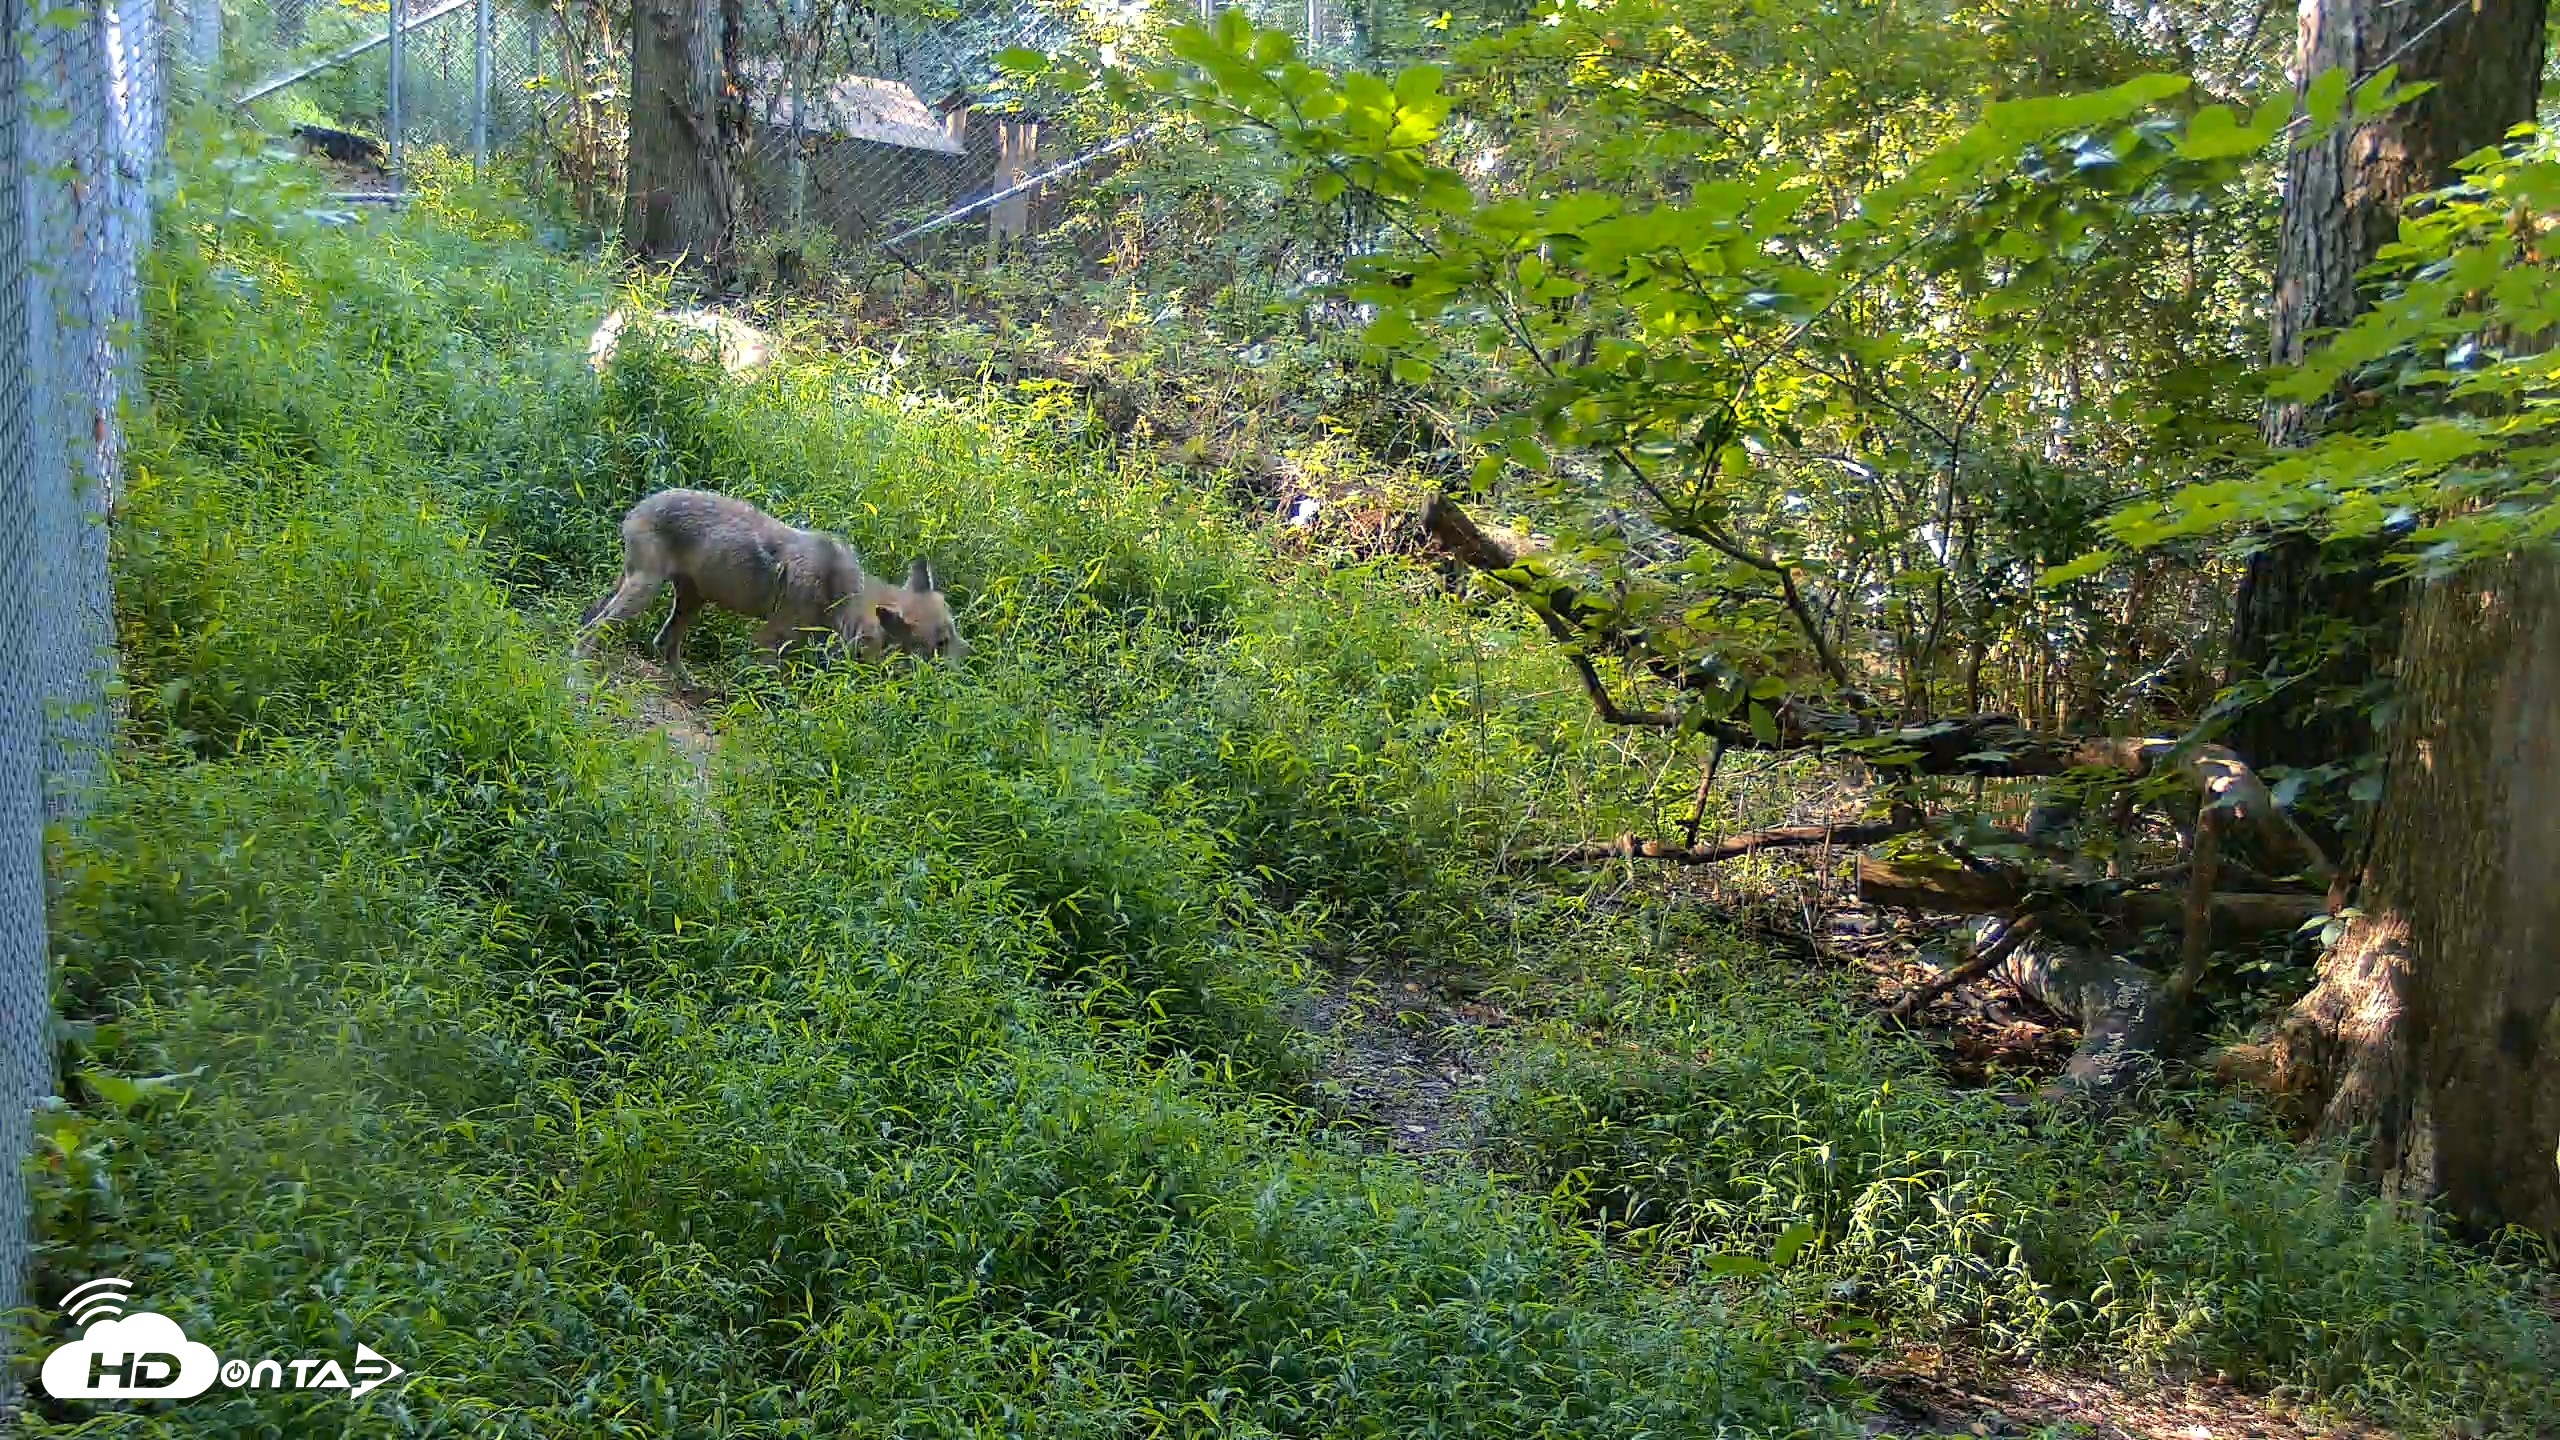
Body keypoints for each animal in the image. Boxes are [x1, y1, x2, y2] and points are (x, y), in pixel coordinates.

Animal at [574, 488, 965, 684]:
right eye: (941, 644)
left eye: (954, 631)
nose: (972, 657)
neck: (841, 592)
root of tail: (636, 508)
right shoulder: (768, 640)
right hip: (644, 593)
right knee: (588, 634)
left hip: (689, 602)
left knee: (661, 643)